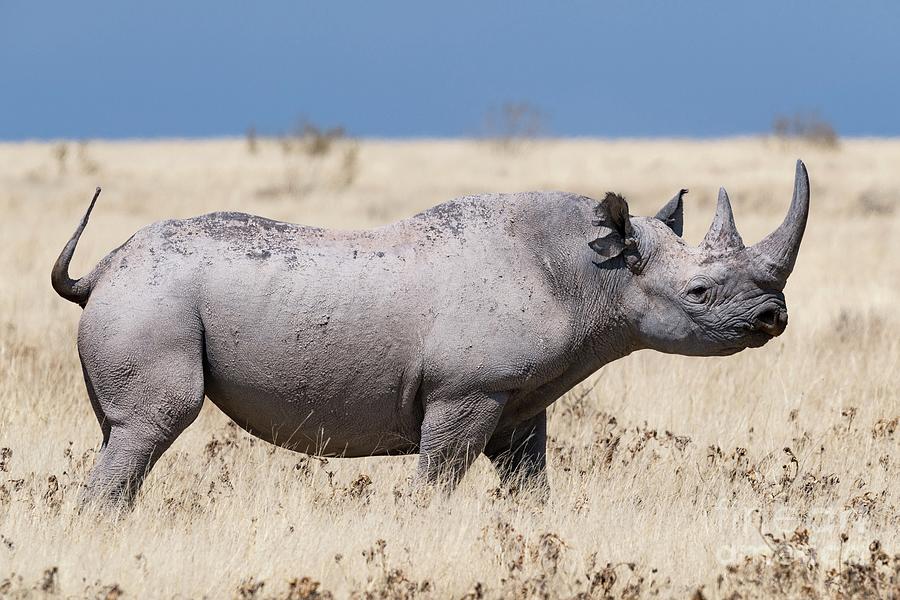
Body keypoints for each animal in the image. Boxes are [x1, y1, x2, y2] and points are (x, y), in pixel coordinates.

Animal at [52, 161, 810, 506]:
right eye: (700, 294)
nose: (772, 318)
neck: (594, 273)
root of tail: (101, 271)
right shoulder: (465, 391)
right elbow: (439, 478)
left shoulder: (520, 398)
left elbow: (529, 481)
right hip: (152, 300)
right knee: (154, 422)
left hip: (142, 298)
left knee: (122, 432)